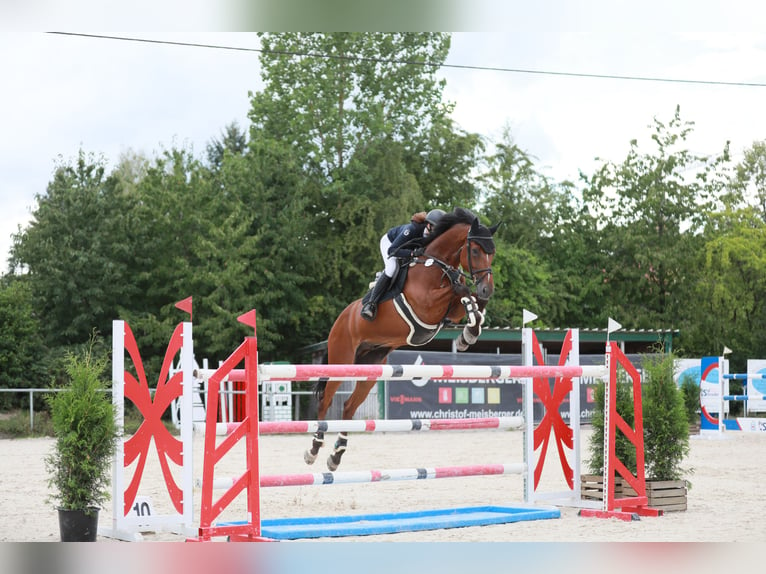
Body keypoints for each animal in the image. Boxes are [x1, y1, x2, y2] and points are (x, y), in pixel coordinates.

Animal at [304, 208, 500, 472]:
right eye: (476, 250)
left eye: (492, 253)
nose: (487, 288)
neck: (435, 264)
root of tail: (340, 320)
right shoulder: (426, 304)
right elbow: (460, 291)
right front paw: (468, 328)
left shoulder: (448, 312)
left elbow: (470, 302)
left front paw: (468, 334)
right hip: (341, 360)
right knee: (325, 400)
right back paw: (314, 449)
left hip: (371, 366)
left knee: (349, 406)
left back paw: (337, 455)